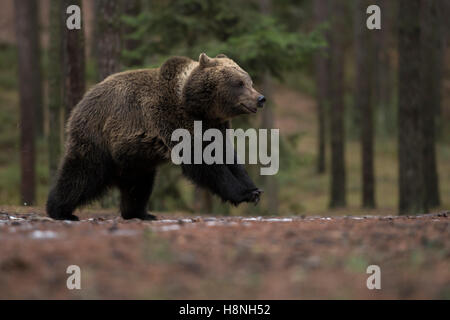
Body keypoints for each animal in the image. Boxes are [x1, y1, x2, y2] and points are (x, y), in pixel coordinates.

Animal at [46, 53, 264, 221]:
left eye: (250, 81)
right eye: (239, 83)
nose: (260, 98)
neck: (200, 108)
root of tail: (81, 102)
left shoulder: (215, 128)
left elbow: (229, 158)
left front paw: (253, 189)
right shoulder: (176, 122)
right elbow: (205, 164)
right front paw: (243, 193)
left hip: (135, 158)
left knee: (138, 186)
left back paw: (140, 213)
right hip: (99, 137)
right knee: (82, 173)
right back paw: (60, 211)